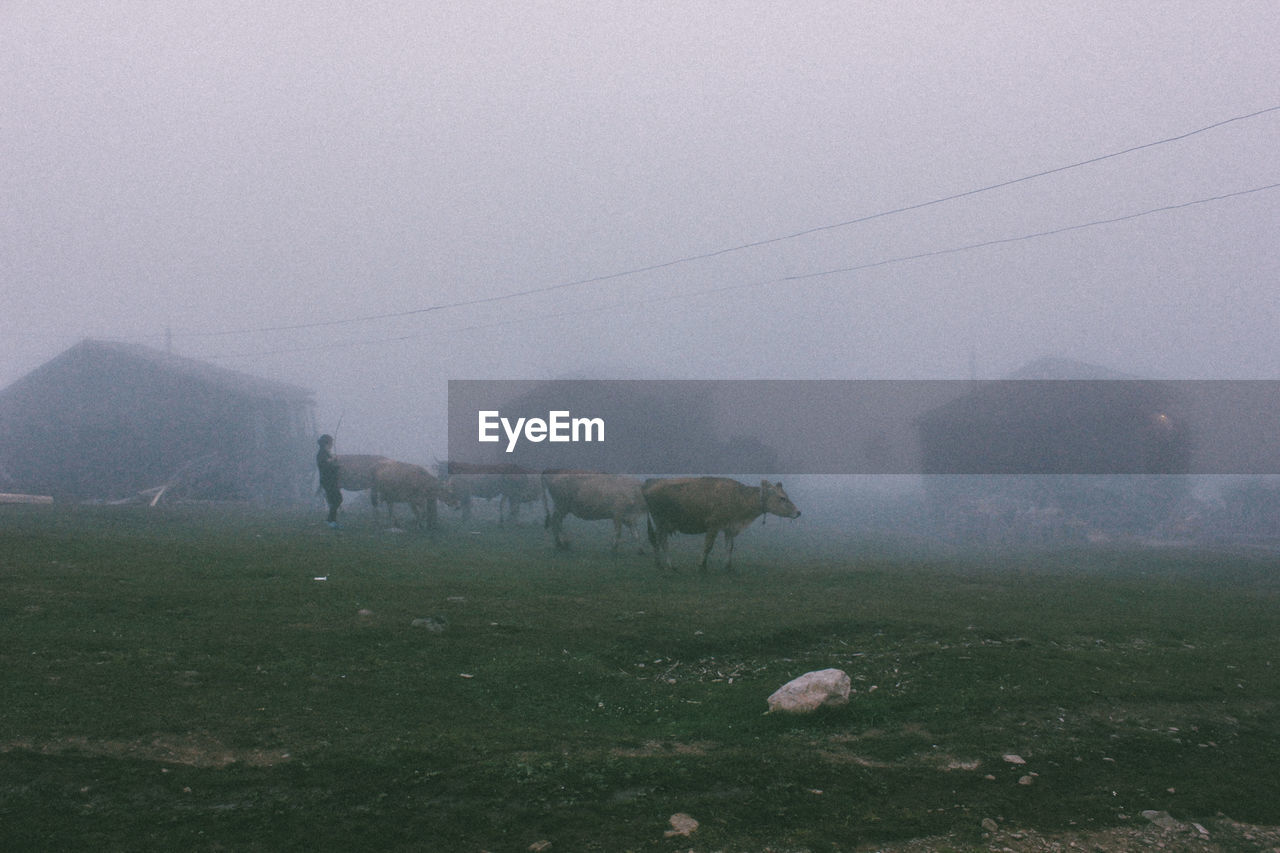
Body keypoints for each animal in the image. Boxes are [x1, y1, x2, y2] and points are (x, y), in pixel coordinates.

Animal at [640, 471, 798, 571]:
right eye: (782, 498)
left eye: (786, 496)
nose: (798, 512)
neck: (738, 497)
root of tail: (650, 482)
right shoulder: (713, 525)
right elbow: (708, 546)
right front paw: (702, 566)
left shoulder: (730, 527)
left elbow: (729, 547)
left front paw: (728, 567)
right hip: (661, 521)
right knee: (662, 541)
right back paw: (669, 565)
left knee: (656, 540)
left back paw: (659, 563)